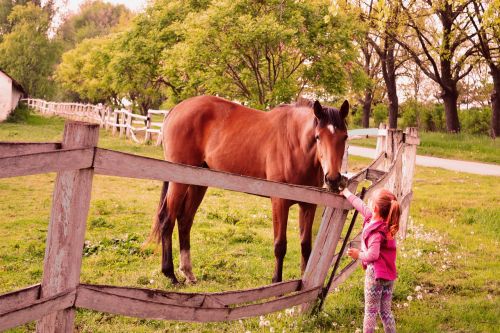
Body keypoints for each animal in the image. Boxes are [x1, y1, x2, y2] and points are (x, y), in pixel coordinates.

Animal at [150, 94, 350, 284]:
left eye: (345, 137)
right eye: (318, 136)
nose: (333, 179)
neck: (295, 144)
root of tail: (176, 109)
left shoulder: (308, 204)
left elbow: (306, 246)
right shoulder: (279, 201)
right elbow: (280, 245)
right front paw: (276, 282)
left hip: (198, 183)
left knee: (185, 220)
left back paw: (188, 273)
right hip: (179, 182)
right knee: (167, 219)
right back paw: (170, 274)